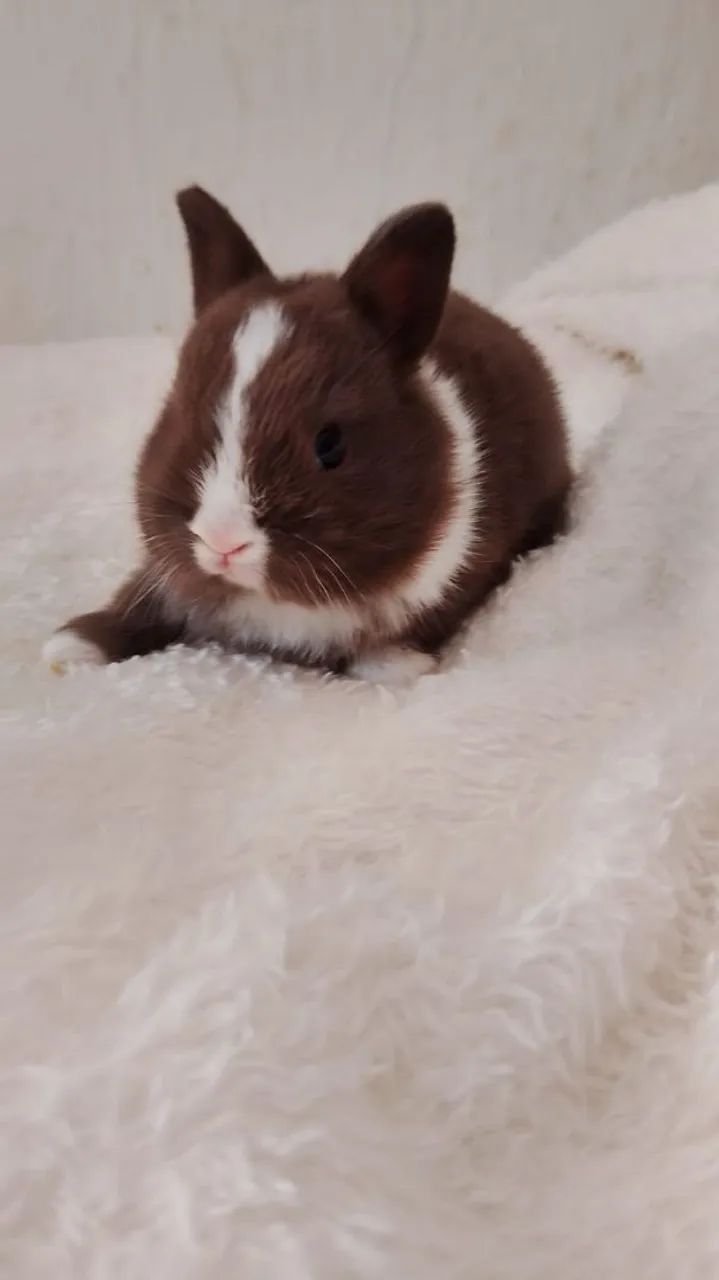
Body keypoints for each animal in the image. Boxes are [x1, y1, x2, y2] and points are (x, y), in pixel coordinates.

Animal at [44, 186, 570, 686]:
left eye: (330, 445)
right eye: (178, 416)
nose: (222, 542)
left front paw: (395, 665)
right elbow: (137, 599)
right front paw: (69, 646)